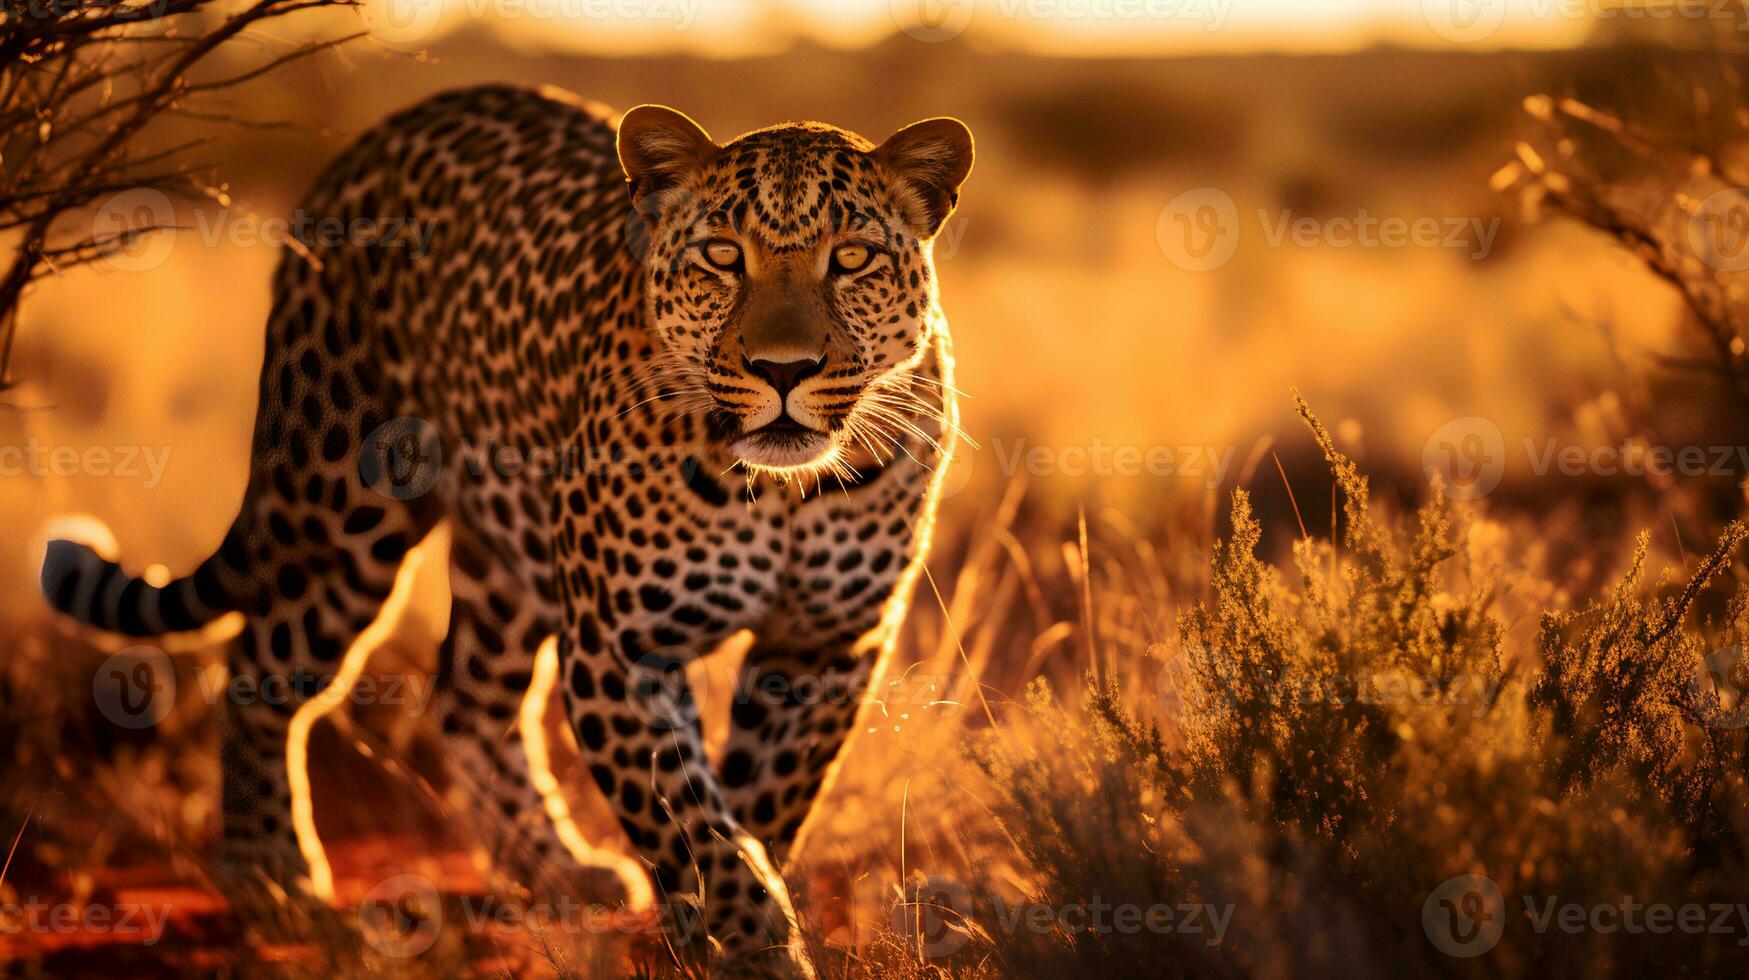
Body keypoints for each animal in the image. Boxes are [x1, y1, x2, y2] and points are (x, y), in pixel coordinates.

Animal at [41, 86, 972, 980]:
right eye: (720, 256)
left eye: (850, 259)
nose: (783, 371)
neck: (780, 491)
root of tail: (378, 137)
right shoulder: (621, 649)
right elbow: (690, 816)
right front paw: (748, 944)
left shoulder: (824, 647)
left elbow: (762, 804)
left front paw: (722, 922)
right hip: (339, 511)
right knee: (261, 669)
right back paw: (271, 876)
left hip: (505, 556)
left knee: (468, 695)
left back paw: (555, 864)